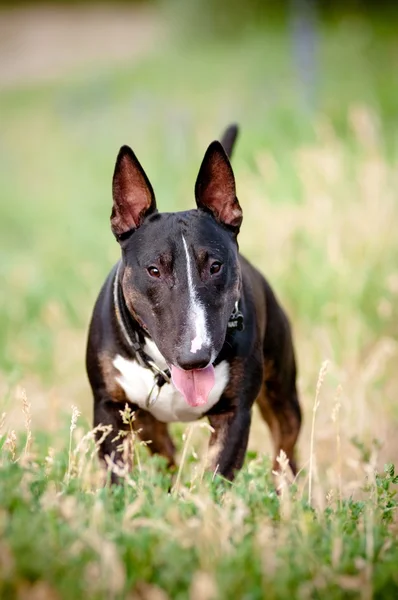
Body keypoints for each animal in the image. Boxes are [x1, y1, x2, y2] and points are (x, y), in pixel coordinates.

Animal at [85, 125, 300, 482]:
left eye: (214, 266)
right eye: (154, 270)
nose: (195, 359)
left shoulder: (235, 412)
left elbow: (213, 476)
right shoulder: (109, 409)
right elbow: (119, 474)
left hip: (281, 390)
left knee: (287, 443)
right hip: (147, 423)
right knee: (166, 456)